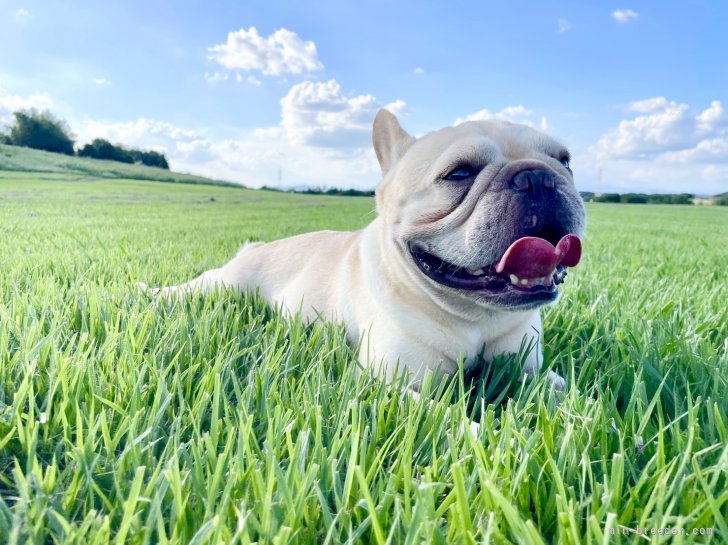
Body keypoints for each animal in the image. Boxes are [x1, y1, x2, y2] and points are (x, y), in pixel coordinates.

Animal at [148, 109, 584, 392]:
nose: (537, 177)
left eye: (566, 162)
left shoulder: (527, 368)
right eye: (459, 172)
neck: (474, 316)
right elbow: (456, 425)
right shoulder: (389, 384)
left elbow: (560, 389)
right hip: (220, 285)